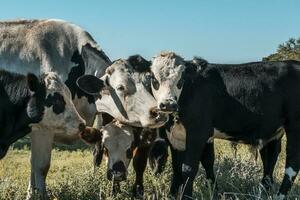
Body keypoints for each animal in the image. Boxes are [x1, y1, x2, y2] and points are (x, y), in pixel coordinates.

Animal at [150, 52, 300, 200]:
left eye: (181, 80)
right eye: (154, 79)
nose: (168, 104)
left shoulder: (198, 133)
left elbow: (188, 168)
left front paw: (187, 196)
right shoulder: (176, 136)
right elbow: (181, 166)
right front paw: (172, 194)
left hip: (294, 126)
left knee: (292, 164)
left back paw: (279, 196)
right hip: (273, 133)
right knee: (270, 159)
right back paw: (262, 192)